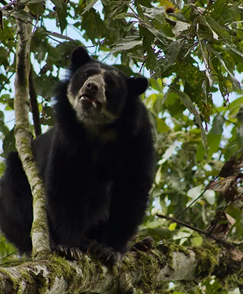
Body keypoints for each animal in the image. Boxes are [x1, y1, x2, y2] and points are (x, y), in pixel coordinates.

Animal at [0, 46, 155, 264]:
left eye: (111, 84)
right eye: (86, 75)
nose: (91, 87)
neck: (98, 128)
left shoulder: (138, 140)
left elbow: (131, 189)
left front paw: (109, 250)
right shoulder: (68, 140)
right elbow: (66, 187)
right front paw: (69, 247)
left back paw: (138, 244)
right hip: (13, 182)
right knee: (18, 204)